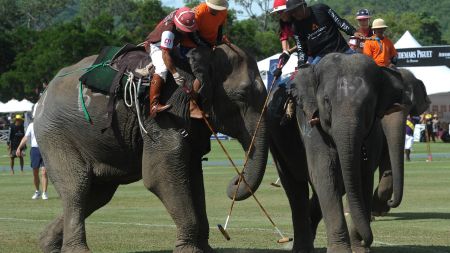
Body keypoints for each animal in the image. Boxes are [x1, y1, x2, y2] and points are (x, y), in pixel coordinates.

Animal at [35, 45, 268, 253]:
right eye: (242, 95)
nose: (236, 180)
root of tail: (43, 94)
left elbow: (193, 173)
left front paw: (204, 249)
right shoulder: (165, 112)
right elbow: (160, 173)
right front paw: (189, 250)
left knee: (98, 194)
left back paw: (47, 244)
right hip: (55, 134)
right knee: (77, 187)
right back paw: (75, 249)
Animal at [268, 52, 408, 252]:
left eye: (369, 103)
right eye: (326, 101)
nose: (366, 241)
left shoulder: (373, 131)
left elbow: (362, 176)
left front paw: (359, 249)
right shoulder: (309, 121)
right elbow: (325, 173)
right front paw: (341, 250)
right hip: (275, 136)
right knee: (294, 186)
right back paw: (301, 246)